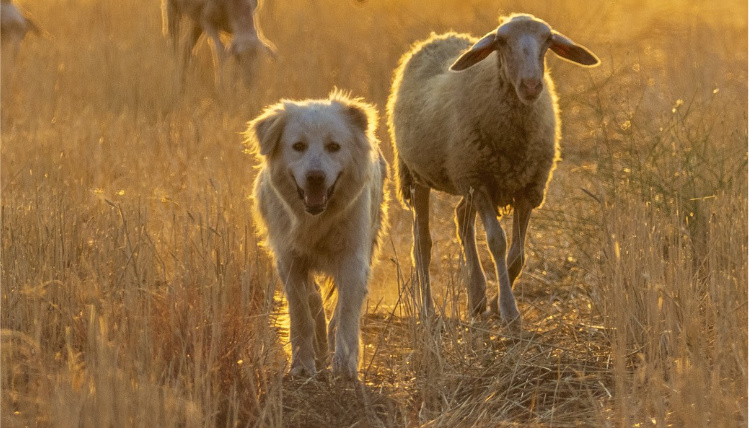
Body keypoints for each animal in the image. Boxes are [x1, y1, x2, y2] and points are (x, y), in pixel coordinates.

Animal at [245, 92, 386, 380]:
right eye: (298, 146)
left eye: (334, 146)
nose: (315, 178)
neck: (316, 219)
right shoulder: (289, 259)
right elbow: (301, 313)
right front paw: (302, 365)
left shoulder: (353, 258)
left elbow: (345, 314)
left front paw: (345, 366)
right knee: (314, 299)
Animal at [388, 13, 600, 328]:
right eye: (502, 41)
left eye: (547, 40)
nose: (531, 86)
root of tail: (439, 37)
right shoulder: (480, 183)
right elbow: (497, 242)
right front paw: (509, 312)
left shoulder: (528, 188)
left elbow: (518, 255)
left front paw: (493, 305)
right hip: (419, 176)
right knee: (422, 244)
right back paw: (427, 309)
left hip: (464, 178)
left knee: (461, 218)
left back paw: (476, 297)